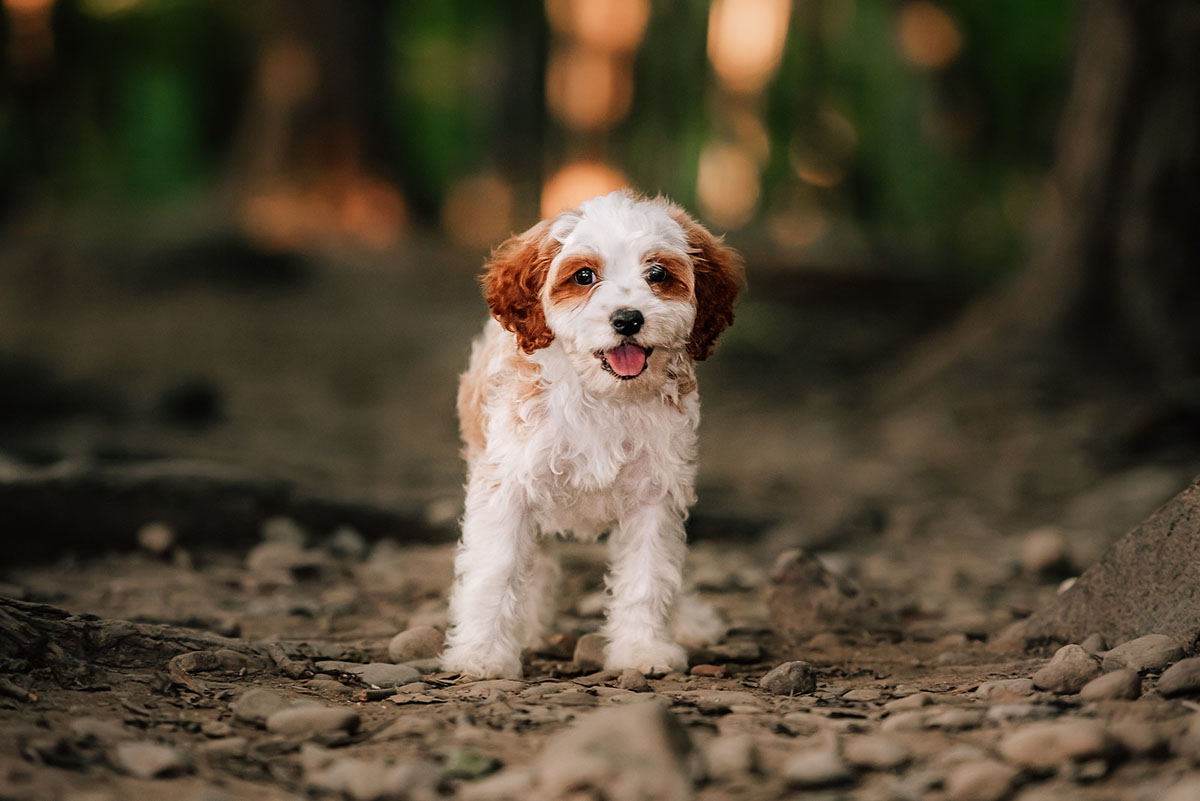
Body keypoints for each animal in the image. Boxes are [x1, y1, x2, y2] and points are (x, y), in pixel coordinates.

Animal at [441, 190, 739, 681]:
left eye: (657, 274)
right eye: (584, 275)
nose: (628, 319)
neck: (604, 396)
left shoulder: (654, 493)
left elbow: (648, 576)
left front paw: (642, 650)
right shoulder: (508, 488)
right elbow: (495, 572)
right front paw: (482, 655)